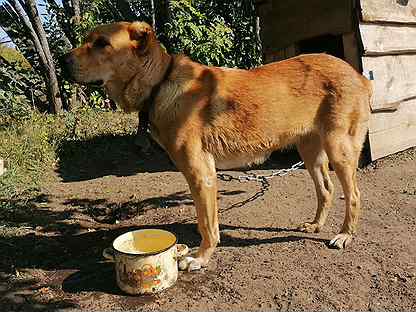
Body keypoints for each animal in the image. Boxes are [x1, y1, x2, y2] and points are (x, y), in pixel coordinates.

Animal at [63, 21, 372, 270]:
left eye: (102, 43)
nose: (62, 59)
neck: (161, 84)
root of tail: (359, 75)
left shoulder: (202, 174)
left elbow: (207, 224)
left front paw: (200, 258)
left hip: (339, 149)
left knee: (354, 194)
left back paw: (345, 235)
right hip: (309, 150)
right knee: (326, 189)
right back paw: (316, 225)